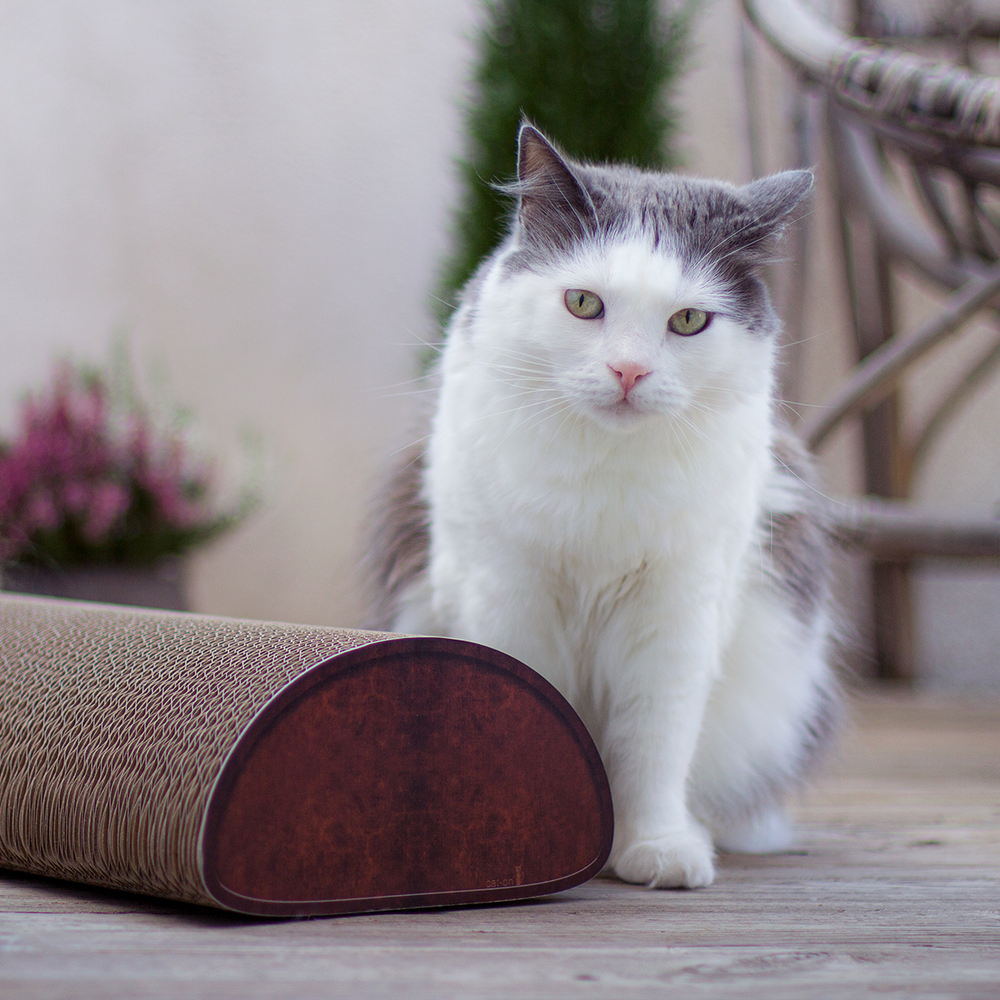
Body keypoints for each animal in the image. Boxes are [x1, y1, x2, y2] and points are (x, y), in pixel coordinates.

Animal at [364, 127, 840, 892]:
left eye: (688, 321)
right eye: (584, 304)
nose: (628, 371)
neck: (605, 482)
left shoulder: (677, 611)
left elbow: (653, 744)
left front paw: (656, 847)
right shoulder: (506, 592)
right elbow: (520, 722)